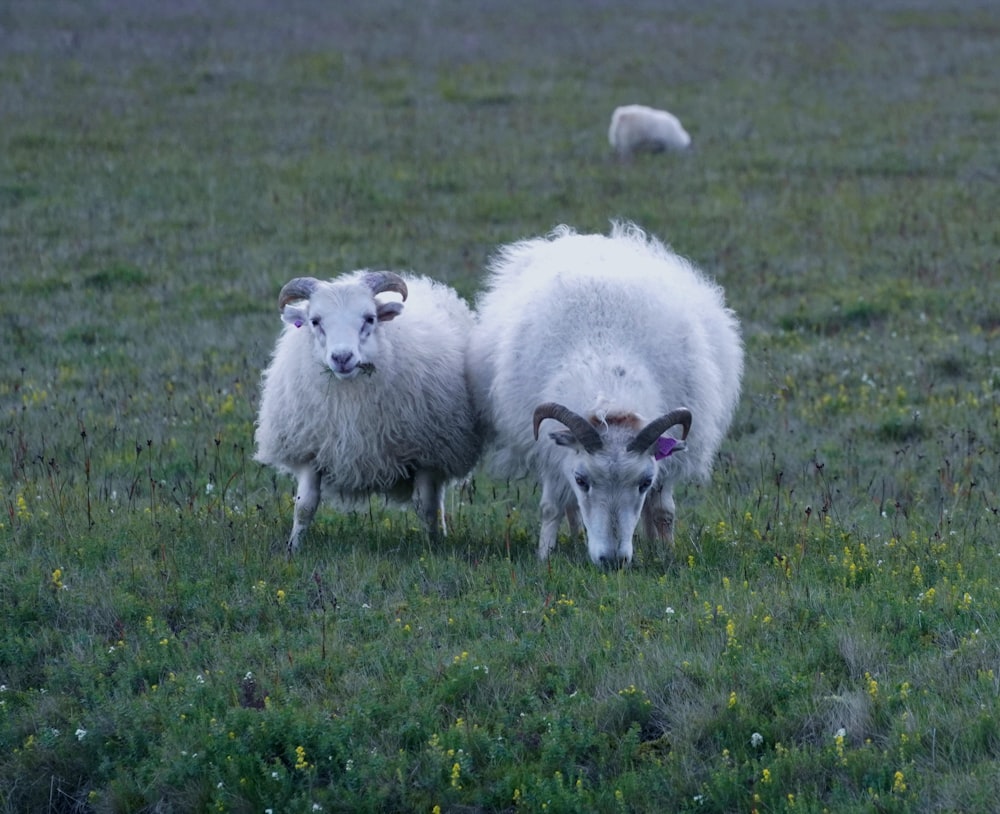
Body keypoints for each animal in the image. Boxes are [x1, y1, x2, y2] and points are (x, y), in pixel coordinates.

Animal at [254, 268, 480, 556]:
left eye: (369, 318)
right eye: (315, 321)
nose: (342, 357)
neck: (350, 398)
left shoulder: (425, 454)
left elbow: (426, 507)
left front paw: (433, 547)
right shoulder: (311, 450)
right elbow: (304, 506)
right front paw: (293, 549)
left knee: (435, 502)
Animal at [468, 222, 744, 568]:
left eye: (644, 482)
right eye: (582, 480)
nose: (612, 561)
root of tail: (591, 238)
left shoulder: (668, 461)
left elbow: (663, 510)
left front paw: (666, 553)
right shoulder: (549, 451)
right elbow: (551, 507)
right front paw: (544, 557)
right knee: (568, 506)